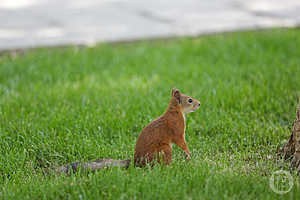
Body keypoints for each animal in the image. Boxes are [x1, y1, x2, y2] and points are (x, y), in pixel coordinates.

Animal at [46, 88, 199, 174]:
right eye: (190, 100)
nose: (199, 104)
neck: (175, 111)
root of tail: (137, 162)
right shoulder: (176, 128)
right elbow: (181, 141)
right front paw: (188, 154)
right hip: (164, 150)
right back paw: (169, 168)